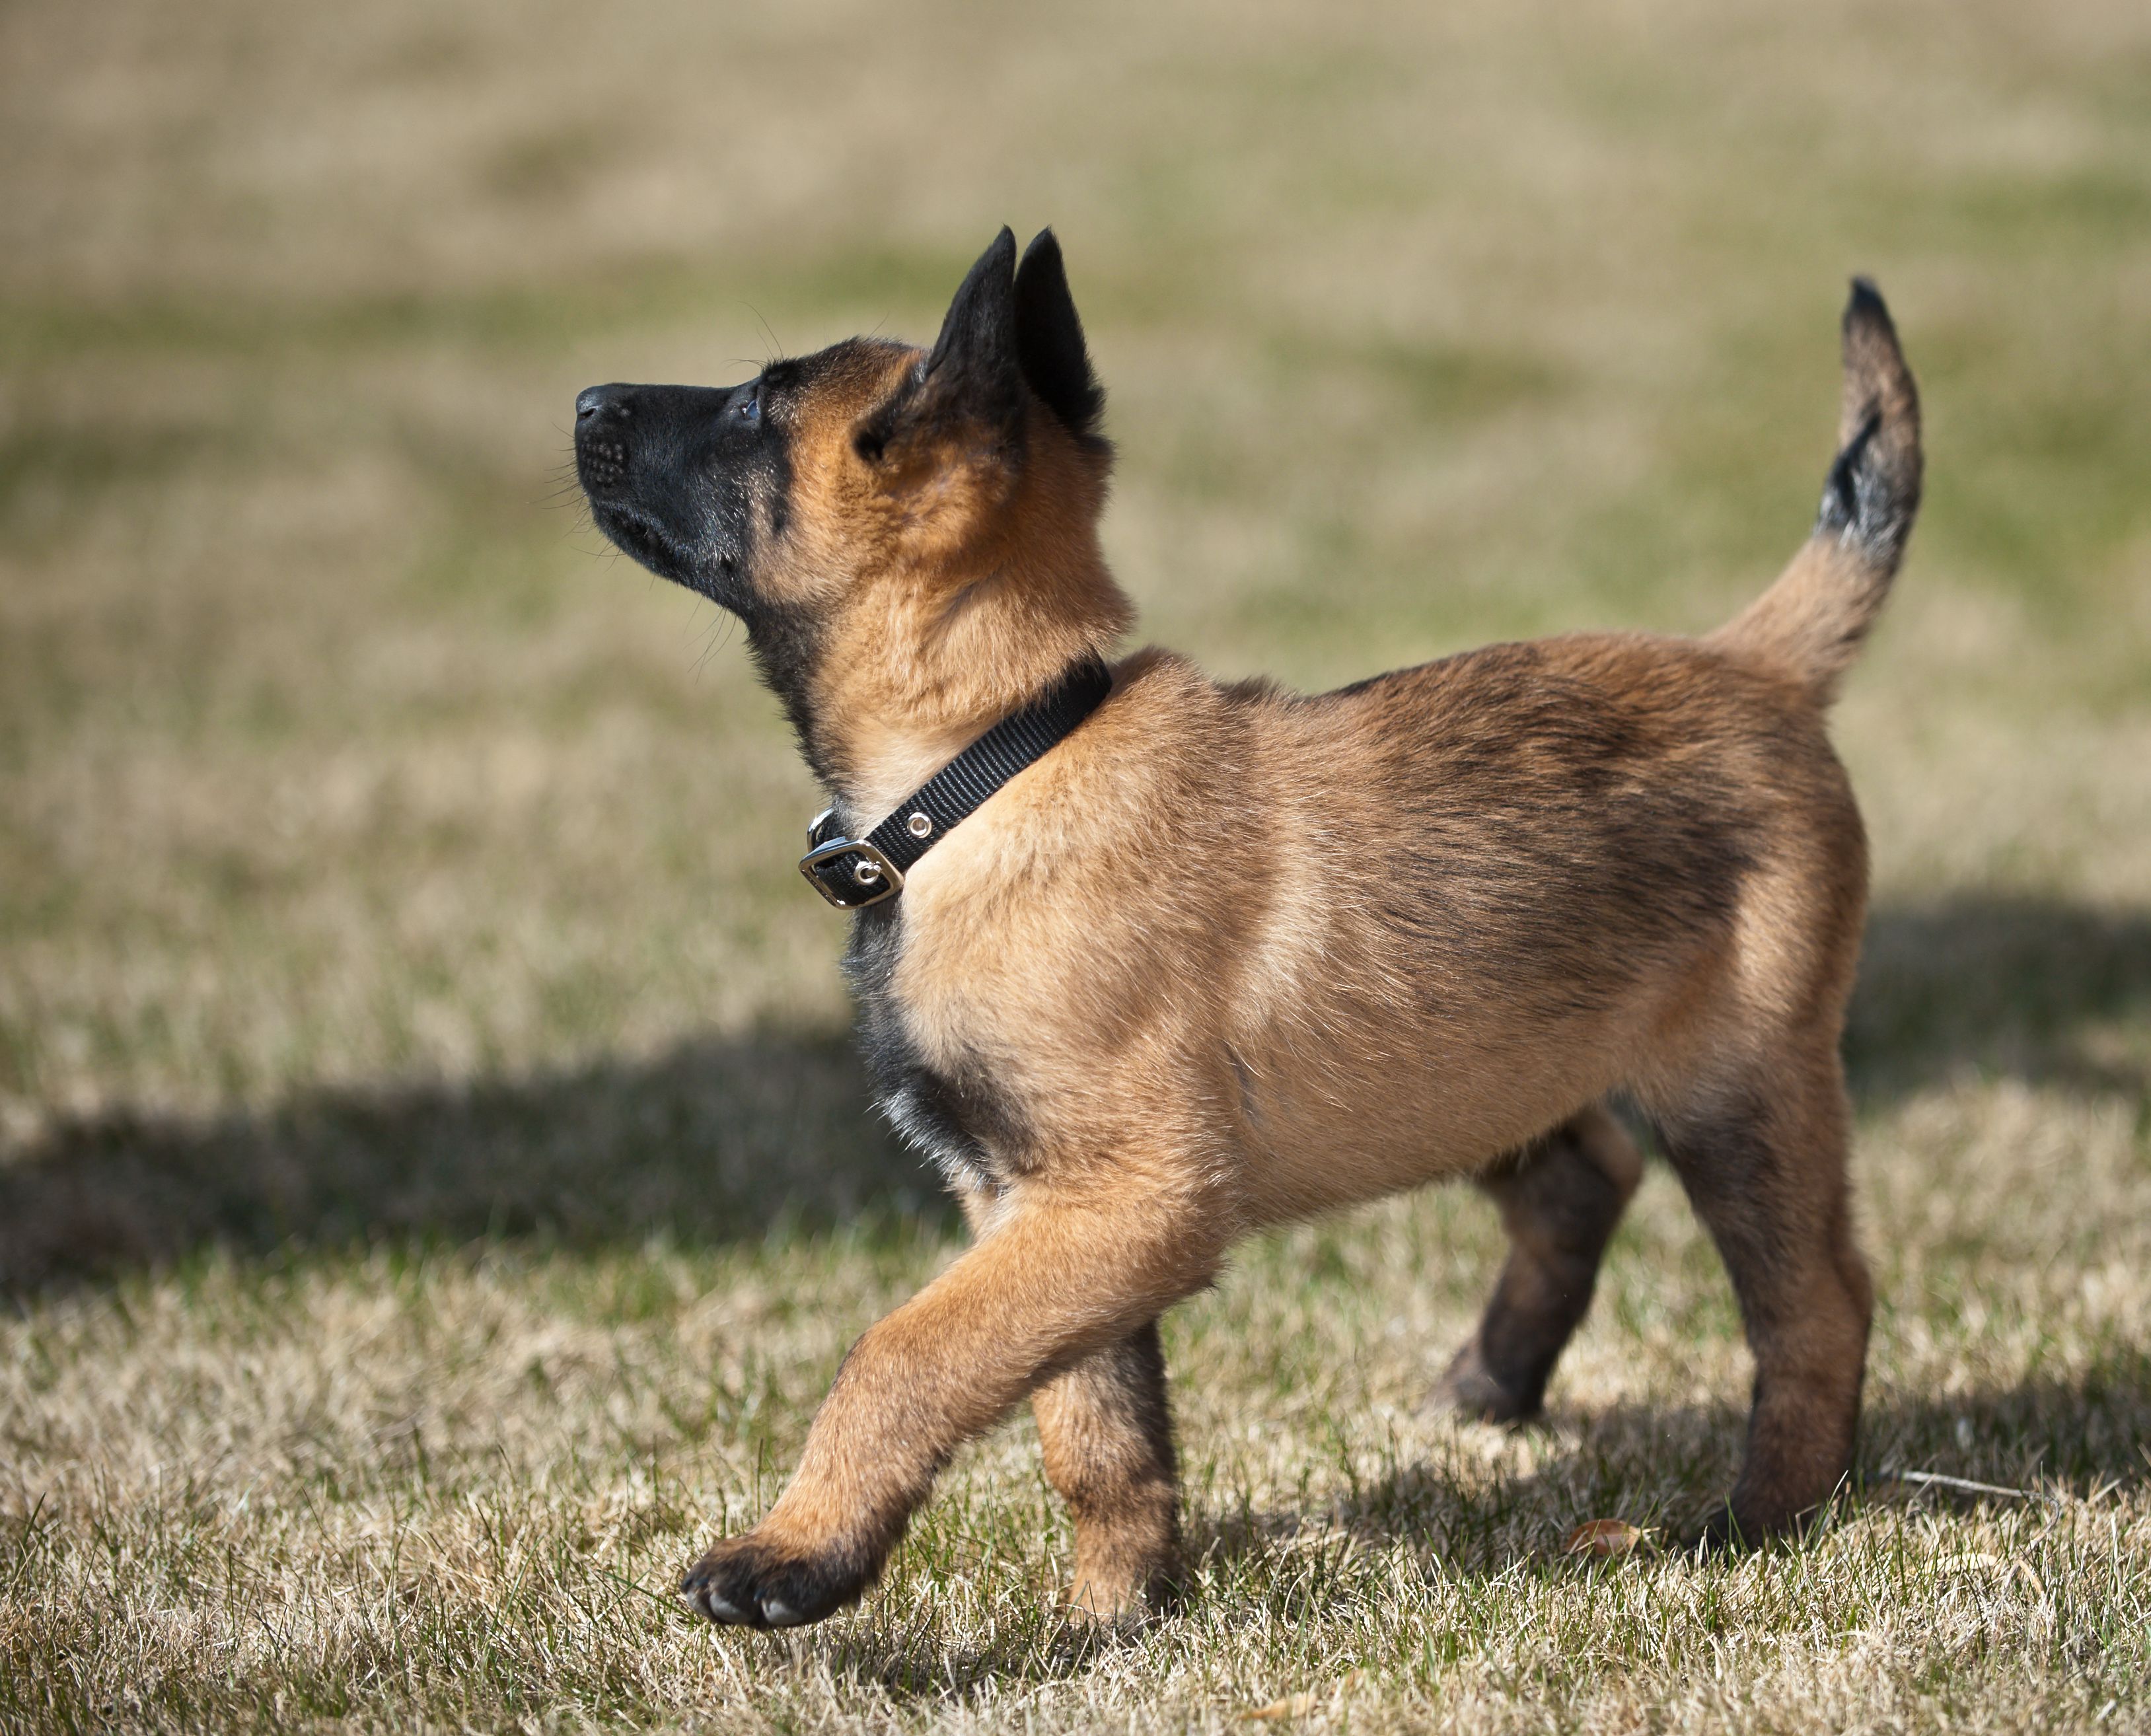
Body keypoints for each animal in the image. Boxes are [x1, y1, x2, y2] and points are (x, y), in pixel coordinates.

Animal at [576, 231, 1936, 1626]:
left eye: (755, 407)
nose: (584, 402)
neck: (992, 764)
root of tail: (1754, 665)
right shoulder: (1037, 1203)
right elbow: (1096, 1428)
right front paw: (1113, 1614)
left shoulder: (1133, 1197)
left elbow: (902, 1352)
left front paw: (794, 1553)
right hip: (1470, 1054)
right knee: (1587, 1176)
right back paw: (1490, 1387)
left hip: (1733, 1086)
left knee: (1818, 1302)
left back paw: (1758, 1517)